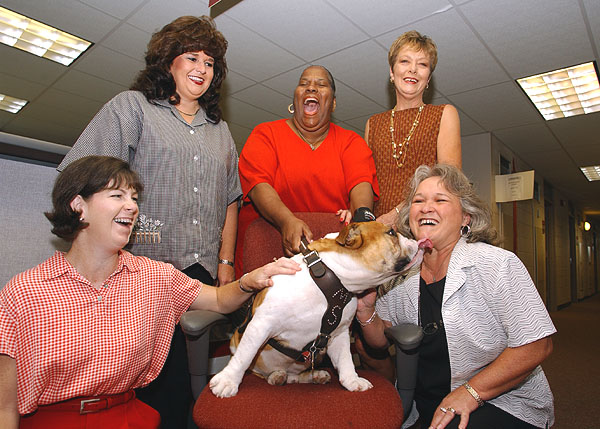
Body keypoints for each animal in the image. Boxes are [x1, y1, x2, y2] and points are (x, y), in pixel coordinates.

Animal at [209, 221, 428, 398]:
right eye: (391, 232)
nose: (413, 237)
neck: (331, 278)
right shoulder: (261, 325)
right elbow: (245, 356)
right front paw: (228, 380)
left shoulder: (339, 332)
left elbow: (345, 360)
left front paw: (352, 380)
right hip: (235, 342)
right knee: (255, 367)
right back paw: (276, 375)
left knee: (295, 376)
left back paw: (313, 375)